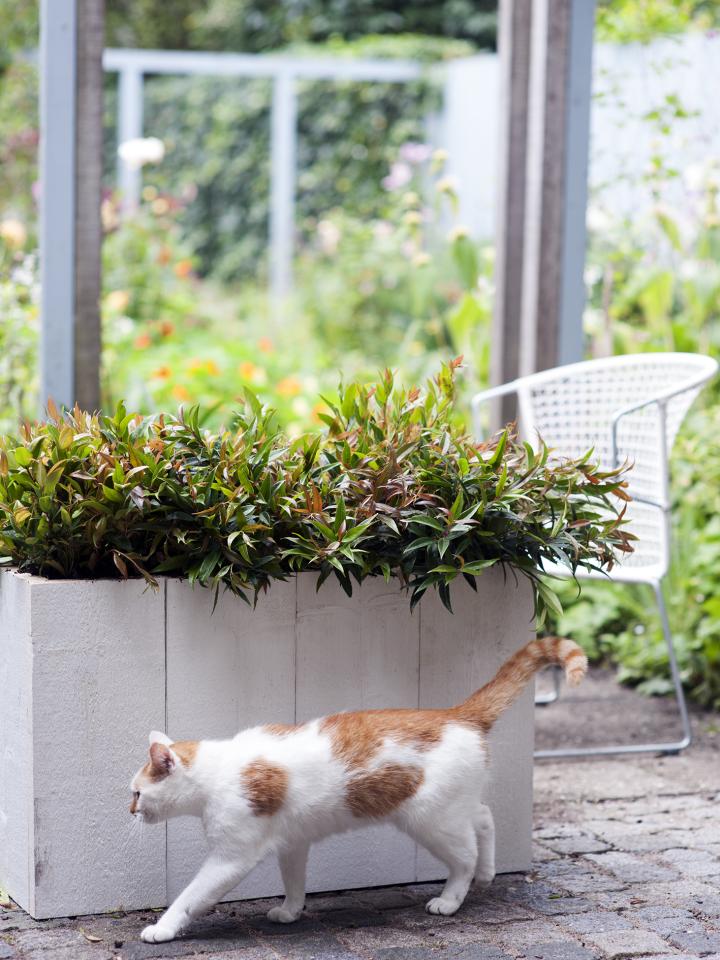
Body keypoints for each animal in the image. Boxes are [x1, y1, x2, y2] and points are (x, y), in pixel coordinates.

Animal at [132, 632, 588, 940]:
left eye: (136, 792)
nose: (130, 810)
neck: (218, 771)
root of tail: (455, 715)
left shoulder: (231, 857)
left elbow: (191, 895)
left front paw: (163, 928)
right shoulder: (292, 842)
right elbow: (294, 881)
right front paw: (291, 911)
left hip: (430, 821)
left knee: (464, 857)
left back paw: (452, 898)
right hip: (451, 806)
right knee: (483, 817)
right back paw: (489, 873)